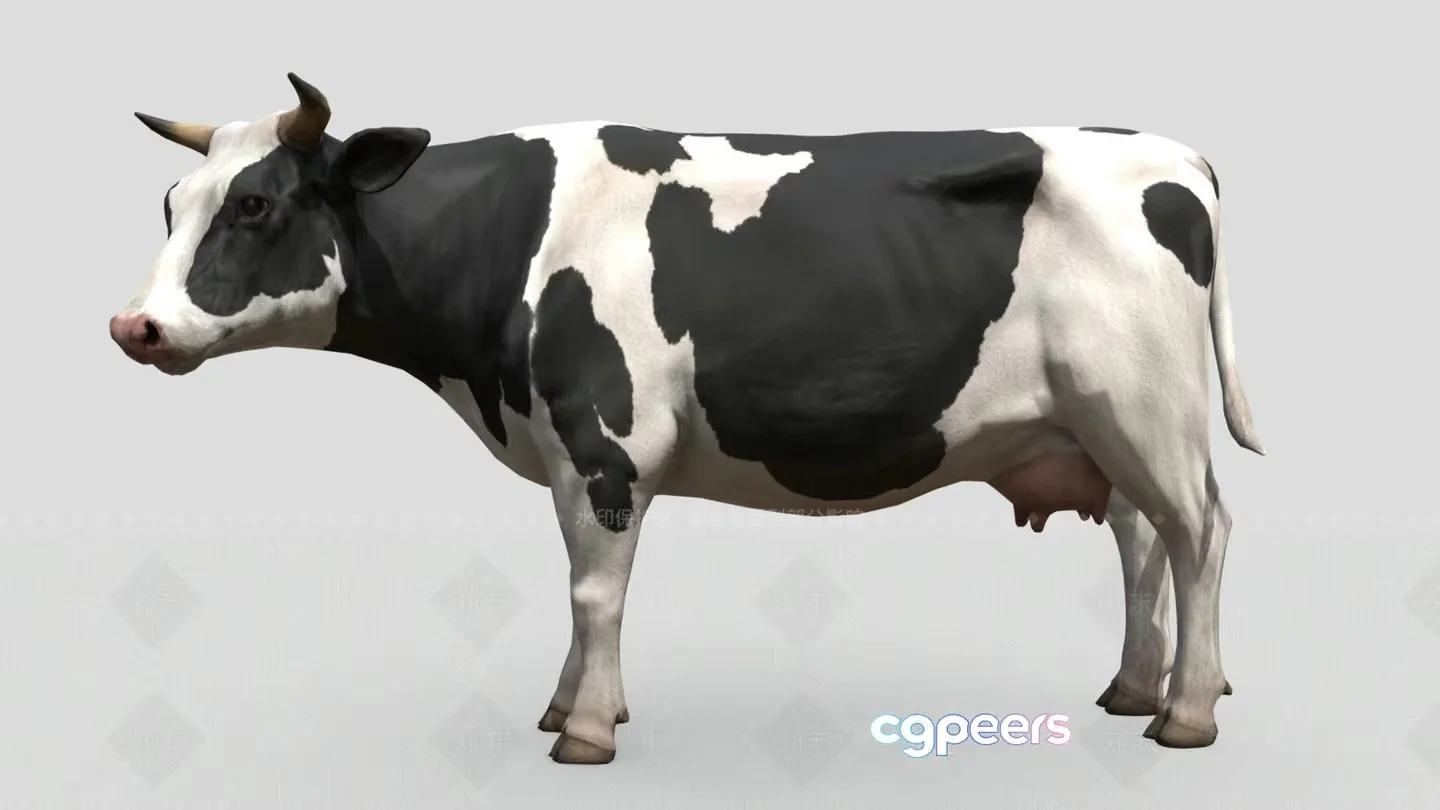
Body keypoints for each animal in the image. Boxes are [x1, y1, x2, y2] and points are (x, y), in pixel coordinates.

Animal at [111, 73, 1263, 765]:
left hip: (1145, 409)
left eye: (255, 204)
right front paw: (566, 705)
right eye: (171, 202)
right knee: (1142, 541)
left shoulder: (607, 445)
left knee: (1200, 533)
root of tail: (1171, 153)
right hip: (1102, 428)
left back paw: (1187, 712)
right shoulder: (562, 451)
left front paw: (583, 730)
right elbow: (580, 590)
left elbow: (595, 593)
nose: (137, 325)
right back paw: (1134, 687)